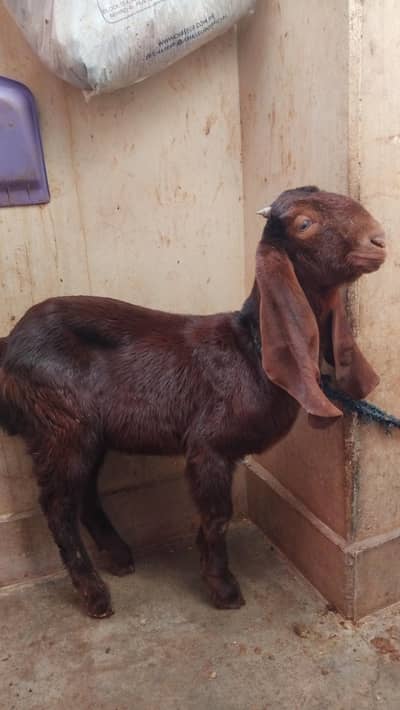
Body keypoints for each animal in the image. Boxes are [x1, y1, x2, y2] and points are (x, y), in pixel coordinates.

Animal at [0, 186, 386, 617]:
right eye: (304, 223)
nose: (378, 240)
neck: (249, 347)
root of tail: (9, 346)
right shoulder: (209, 446)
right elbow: (217, 517)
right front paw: (223, 588)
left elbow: (209, 519)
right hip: (60, 426)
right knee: (57, 505)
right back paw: (95, 594)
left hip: (87, 433)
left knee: (82, 493)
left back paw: (119, 557)